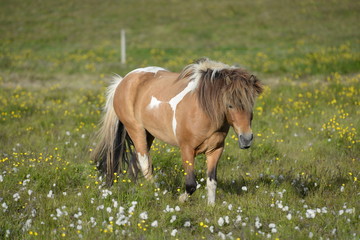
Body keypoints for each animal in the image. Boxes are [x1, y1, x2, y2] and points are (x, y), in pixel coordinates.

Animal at [91, 58, 262, 204]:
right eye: (229, 105)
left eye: (251, 103)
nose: (246, 139)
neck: (202, 111)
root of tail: (124, 81)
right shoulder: (186, 149)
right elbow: (191, 184)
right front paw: (181, 199)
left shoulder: (215, 150)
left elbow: (212, 181)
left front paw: (211, 206)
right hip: (136, 129)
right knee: (144, 162)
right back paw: (157, 192)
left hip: (149, 134)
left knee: (136, 161)